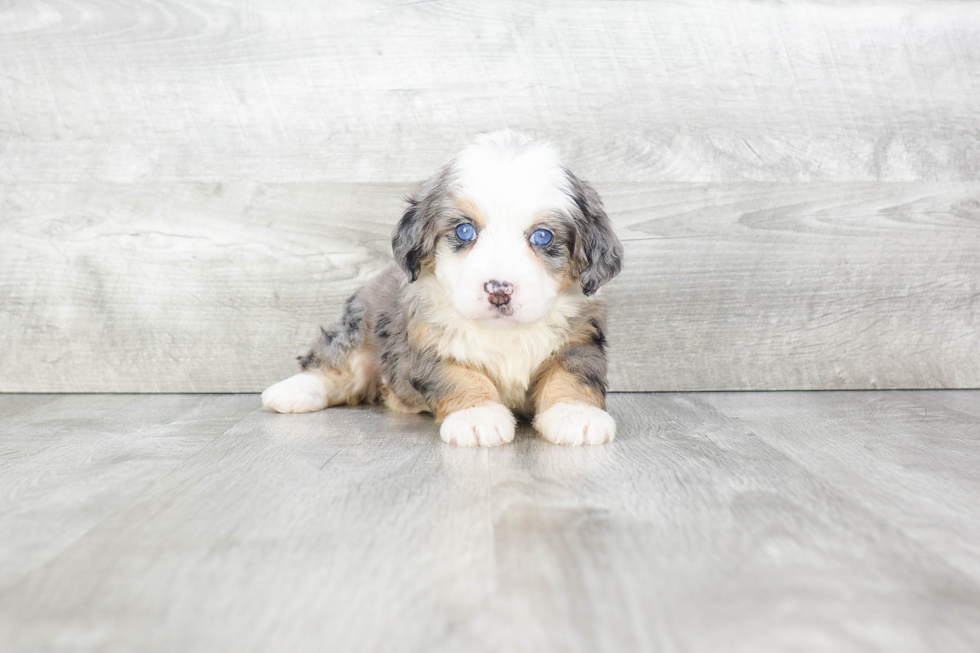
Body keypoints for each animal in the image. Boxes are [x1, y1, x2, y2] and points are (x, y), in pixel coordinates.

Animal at [262, 130, 620, 446]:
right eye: (464, 231)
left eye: (543, 236)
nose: (498, 290)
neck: (503, 331)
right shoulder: (430, 343)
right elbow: (460, 375)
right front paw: (478, 417)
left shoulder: (580, 340)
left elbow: (571, 375)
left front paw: (575, 416)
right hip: (359, 325)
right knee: (335, 363)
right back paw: (291, 392)